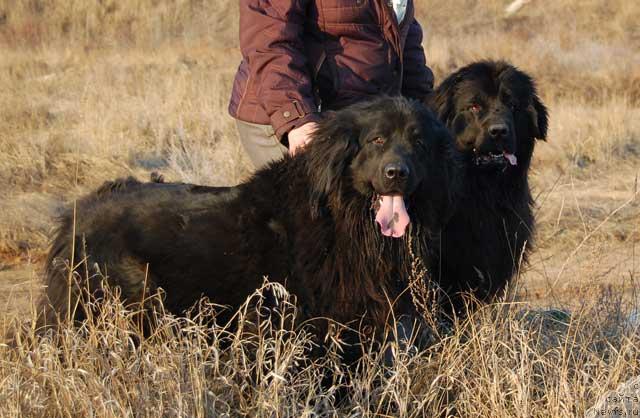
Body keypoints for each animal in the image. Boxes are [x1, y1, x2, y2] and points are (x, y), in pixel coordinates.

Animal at [38, 96, 456, 360]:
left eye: (419, 143)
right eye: (377, 140)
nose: (397, 173)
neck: (341, 216)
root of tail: (76, 213)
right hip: (135, 290)